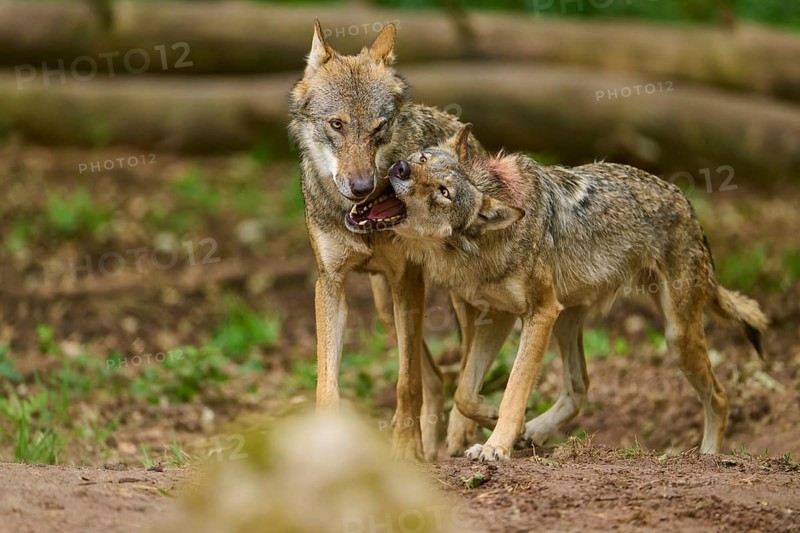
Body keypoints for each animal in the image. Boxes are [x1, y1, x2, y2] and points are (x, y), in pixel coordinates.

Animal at [288, 22, 483, 460]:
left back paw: (458, 434)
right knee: (435, 378)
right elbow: (327, 383)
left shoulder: (407, 282)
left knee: (465, 362)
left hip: (460, 298)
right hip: (383, 307)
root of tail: (463, 135)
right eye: (337, 124)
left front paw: (406, 448)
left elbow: (405, 382)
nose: (361, 186)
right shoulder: (331, 284)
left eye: (378, 128)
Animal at [378, 124, 768, 460]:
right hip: (568, 319)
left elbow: (514, 391)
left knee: (719, 397)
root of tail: (689, 208)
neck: (481, 247)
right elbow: (464, 393)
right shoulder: (500, 316)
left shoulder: (539, 312)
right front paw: (493, 421)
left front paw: (496, 447)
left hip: (675, 336)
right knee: (579, 388)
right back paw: (534, 431)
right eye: (422, 159)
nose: (400, 168)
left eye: (443, 193)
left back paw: (709, 456)